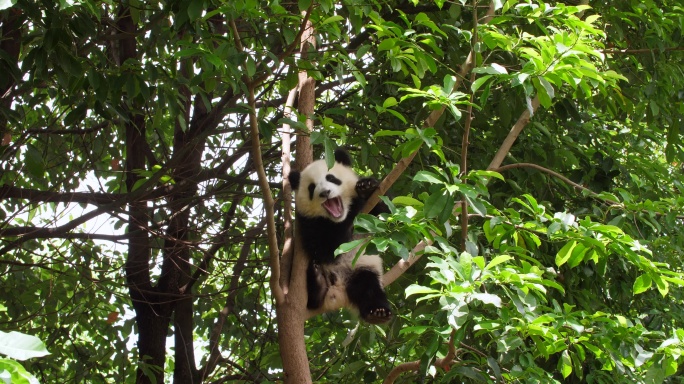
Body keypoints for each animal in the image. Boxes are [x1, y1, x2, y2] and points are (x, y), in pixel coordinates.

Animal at [288, 148, 392, 324]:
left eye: (331, 178)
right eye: (311, 188)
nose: (325, 192)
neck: (337, 218)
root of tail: (337, 289)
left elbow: (386, 216)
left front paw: (366, 187)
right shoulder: (308, 224)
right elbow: (326, 248)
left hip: (361, 266)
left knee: (369, 287)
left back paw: (377, 313)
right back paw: (318, 283)